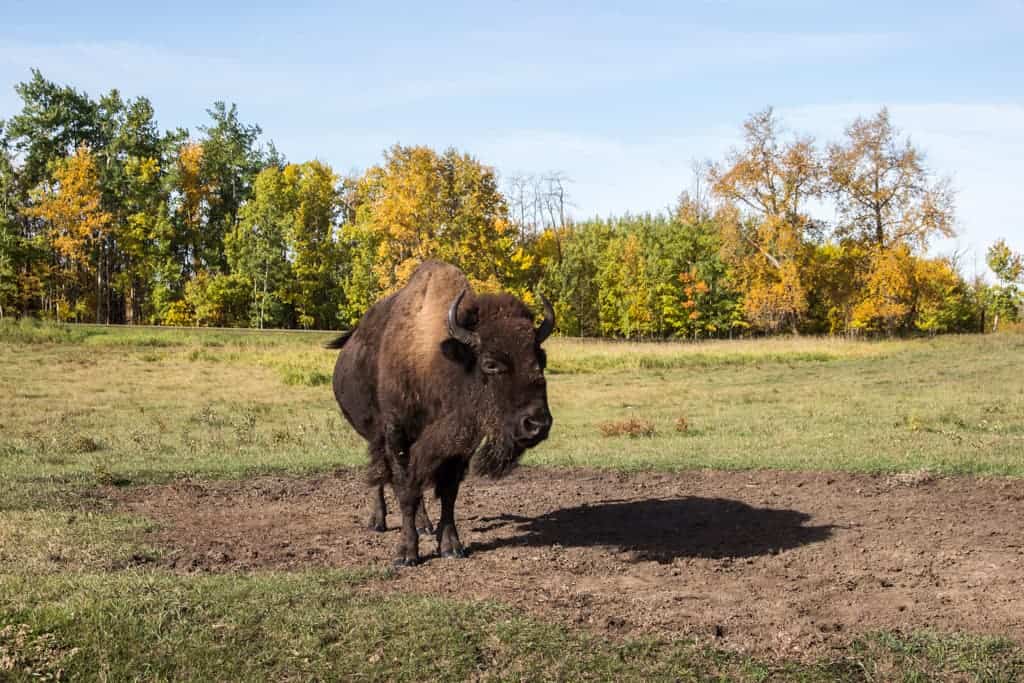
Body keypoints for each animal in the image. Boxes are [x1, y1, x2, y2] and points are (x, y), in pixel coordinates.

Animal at [325, 259, 552, 565]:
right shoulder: (397, 435)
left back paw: (424, 524)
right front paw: (406, 553)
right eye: (490, 363)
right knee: (379, 474)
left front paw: (451, 546)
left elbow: (447, 493)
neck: (441, 363)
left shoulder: (458, 446)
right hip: (373, 434)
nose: (537, 424)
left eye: (541, 359)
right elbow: (405, 489)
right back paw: (378, 521)